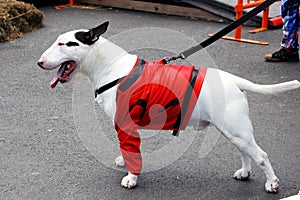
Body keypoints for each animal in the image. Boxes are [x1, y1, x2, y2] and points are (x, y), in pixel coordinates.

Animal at [37, 21, 300, 192]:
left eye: (65, 44)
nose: (39, 63)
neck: (111, 68)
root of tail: (235, 80)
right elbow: (126, 150)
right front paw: (124, 162)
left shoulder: (126, 124)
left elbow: (132, 152)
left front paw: (131, 178)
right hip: (234, 131)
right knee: (246, 152)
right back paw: (245, 173)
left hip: (236, 129)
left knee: (261, 155)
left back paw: (272, 183)